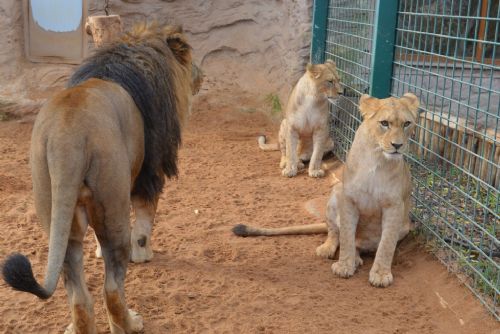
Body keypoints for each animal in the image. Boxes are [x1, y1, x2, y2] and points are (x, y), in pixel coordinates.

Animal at [2, 22, 197, 332]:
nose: (200, 77)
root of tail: (65, 135)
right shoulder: (149, 172)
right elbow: (145, 221)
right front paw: (143, 255)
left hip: (56, 207)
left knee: (78, 295)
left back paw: (78, 325)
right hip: (113, 204)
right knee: (112, 290)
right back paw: (130, 323)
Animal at [232, 93, 420, 288]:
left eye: (407, 123)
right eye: (384, 123)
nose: (398, 145)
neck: (376, 159)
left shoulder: (394, 206)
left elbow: (387, 243)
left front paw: (381, 274)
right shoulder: (348, 199)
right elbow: (346, 236)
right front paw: (344, 266)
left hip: (405, 225)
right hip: (335, 192)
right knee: (335, 232)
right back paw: (330, 250)